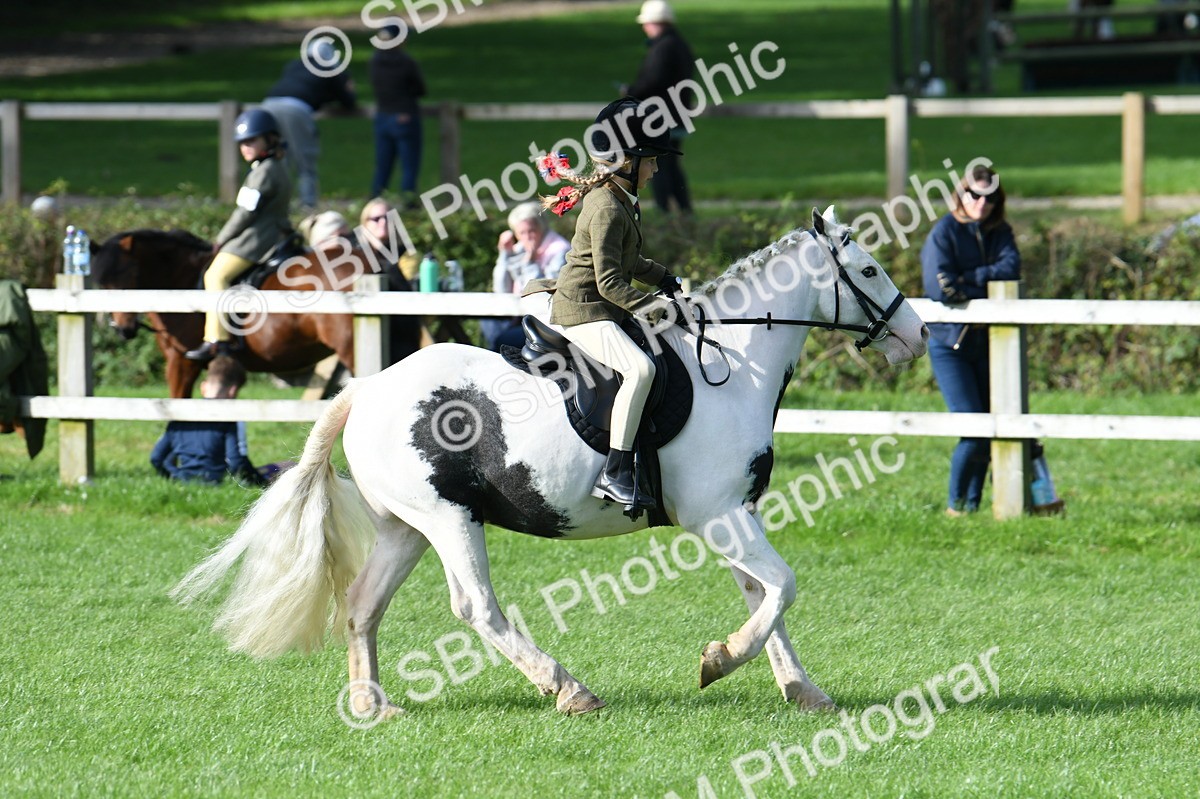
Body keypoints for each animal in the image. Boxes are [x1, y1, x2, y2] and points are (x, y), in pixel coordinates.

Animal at [172, 208, 930, 720]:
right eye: (868, 270)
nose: (919, 335)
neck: (731, 365)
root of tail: (366, 389)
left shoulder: (733, 513)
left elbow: (764, 594)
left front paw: (801, 687)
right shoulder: (717, 514)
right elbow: (782, 587)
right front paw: (720, 660)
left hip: (406, 526)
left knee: (362, 605)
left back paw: (373, 704)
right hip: (448, 519)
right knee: (476, 606)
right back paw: (569, 689)